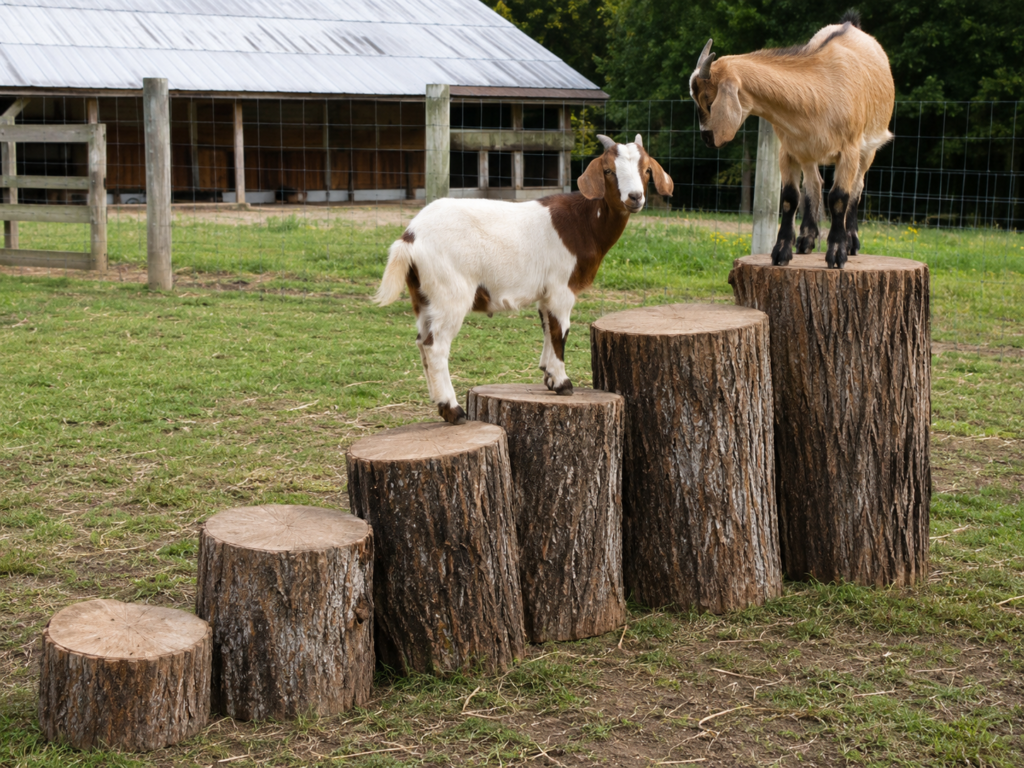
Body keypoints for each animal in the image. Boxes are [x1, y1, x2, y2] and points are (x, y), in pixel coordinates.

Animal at [375, 134, 674, 424]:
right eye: (609, 170)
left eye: (647, 169)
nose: (634, 197)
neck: (583, 222)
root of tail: (410, 237)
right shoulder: (562, 287)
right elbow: (561, 331)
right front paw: (563, 383)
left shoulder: (546, 293)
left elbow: (547, 326)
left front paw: (548, 376)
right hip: (450, 293)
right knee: (435, 348)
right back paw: (453, 410)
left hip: (423, 297)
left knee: (421, 343)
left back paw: (439, 403)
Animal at [688, 11, 894, 268]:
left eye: (708, 100)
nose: (707, 137)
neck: (822, 88)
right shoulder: (788, 150)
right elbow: (789, 197)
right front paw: (781, 252)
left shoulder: (850, 149)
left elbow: (839, 198)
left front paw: (837, 254)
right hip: (808, 151)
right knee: (814, 184)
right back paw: (806, 239)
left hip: (868, 149)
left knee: (856, 189)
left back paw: (851, 241)